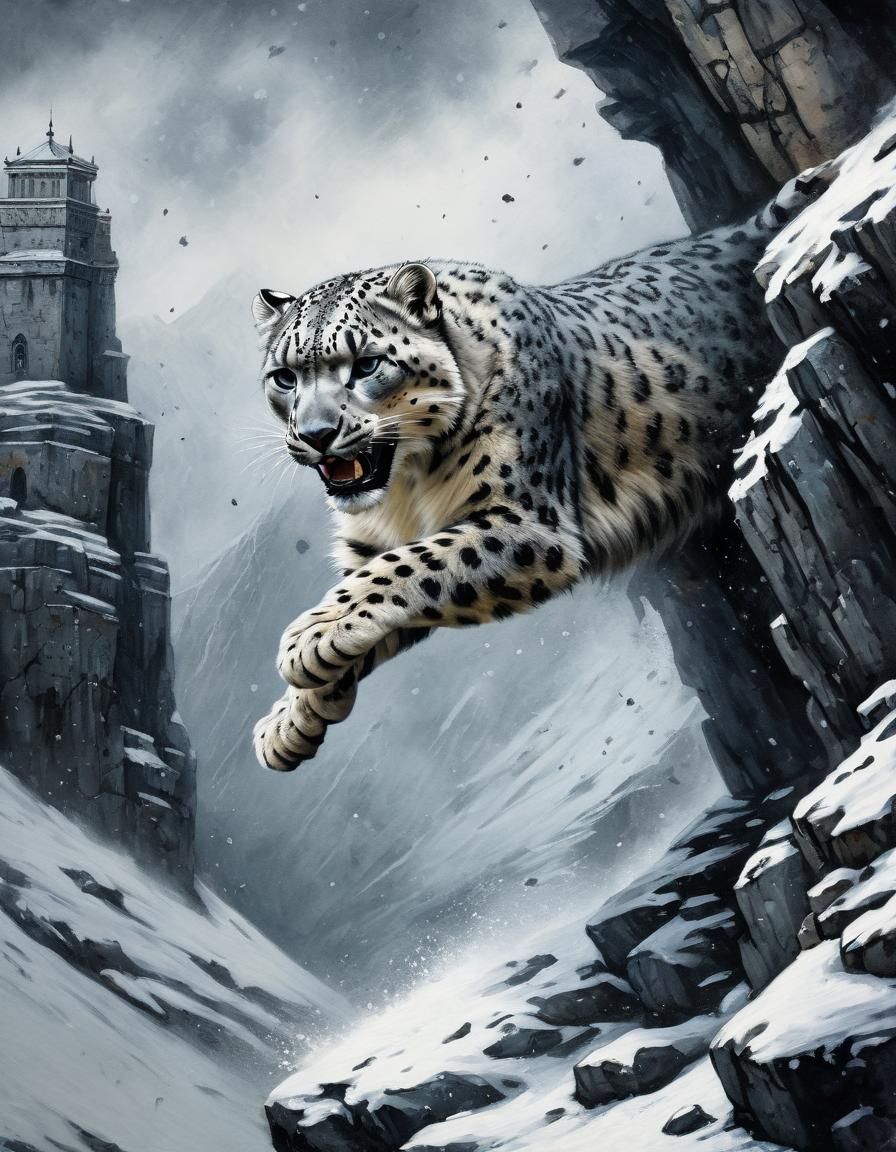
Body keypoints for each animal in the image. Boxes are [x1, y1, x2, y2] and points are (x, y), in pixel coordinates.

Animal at [250, 166, 832, 772]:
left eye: (366, 365)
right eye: (285, 378)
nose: (315, 435)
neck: (407, 486)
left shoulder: (526, 521)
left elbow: (404, 568)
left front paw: (306, 641)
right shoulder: (371, 542)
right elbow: (373, 581)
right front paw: (293, 718)